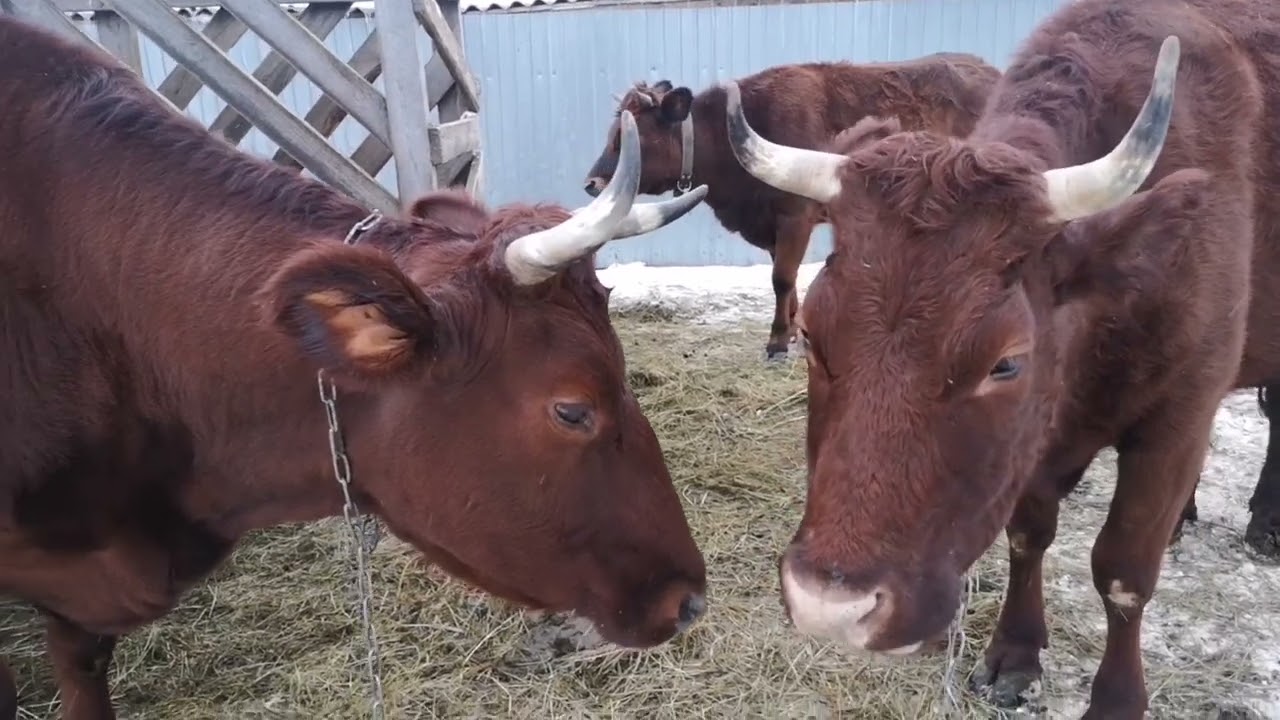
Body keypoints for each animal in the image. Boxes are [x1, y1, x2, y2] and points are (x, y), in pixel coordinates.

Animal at [582, 56, 1001, 360]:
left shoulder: (795, 216)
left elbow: (781, 279)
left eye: (624, 138)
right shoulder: (773, 227)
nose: (591, 183)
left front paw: (778, 341)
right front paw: (796, 331)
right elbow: (788, 279)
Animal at [721, 0, 1280, 716]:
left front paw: (1117, 698)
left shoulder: (1177, 419)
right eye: (812, 335)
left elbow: (1124, 571)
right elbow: (1028, 534)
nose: (831, 608)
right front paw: (1015, 653)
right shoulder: (1033, 446)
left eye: (1006, 362)